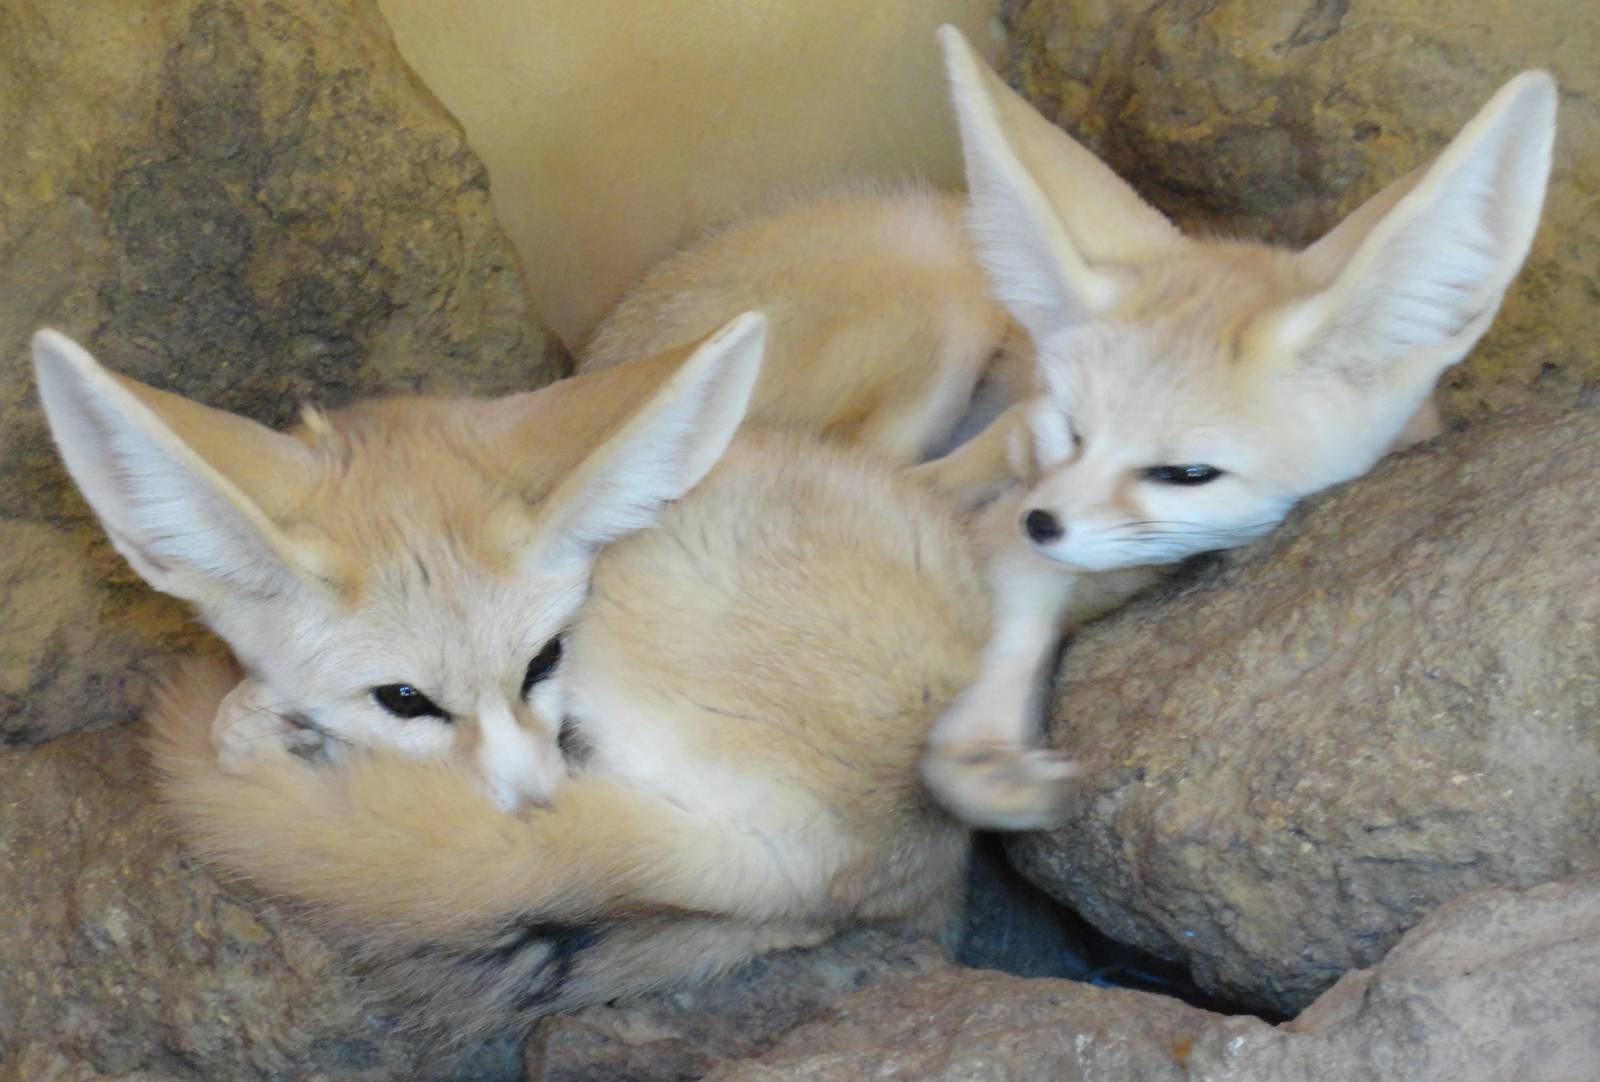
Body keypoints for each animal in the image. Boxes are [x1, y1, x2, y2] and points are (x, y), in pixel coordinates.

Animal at [581, 26, 1559, 827]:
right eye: (1071, 428)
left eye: (1187, 473)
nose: (1042, 520)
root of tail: (605, 348)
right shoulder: (1016, 486)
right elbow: (1004, 585)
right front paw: (982, 751)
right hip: (941, 312)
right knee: (889, 474)